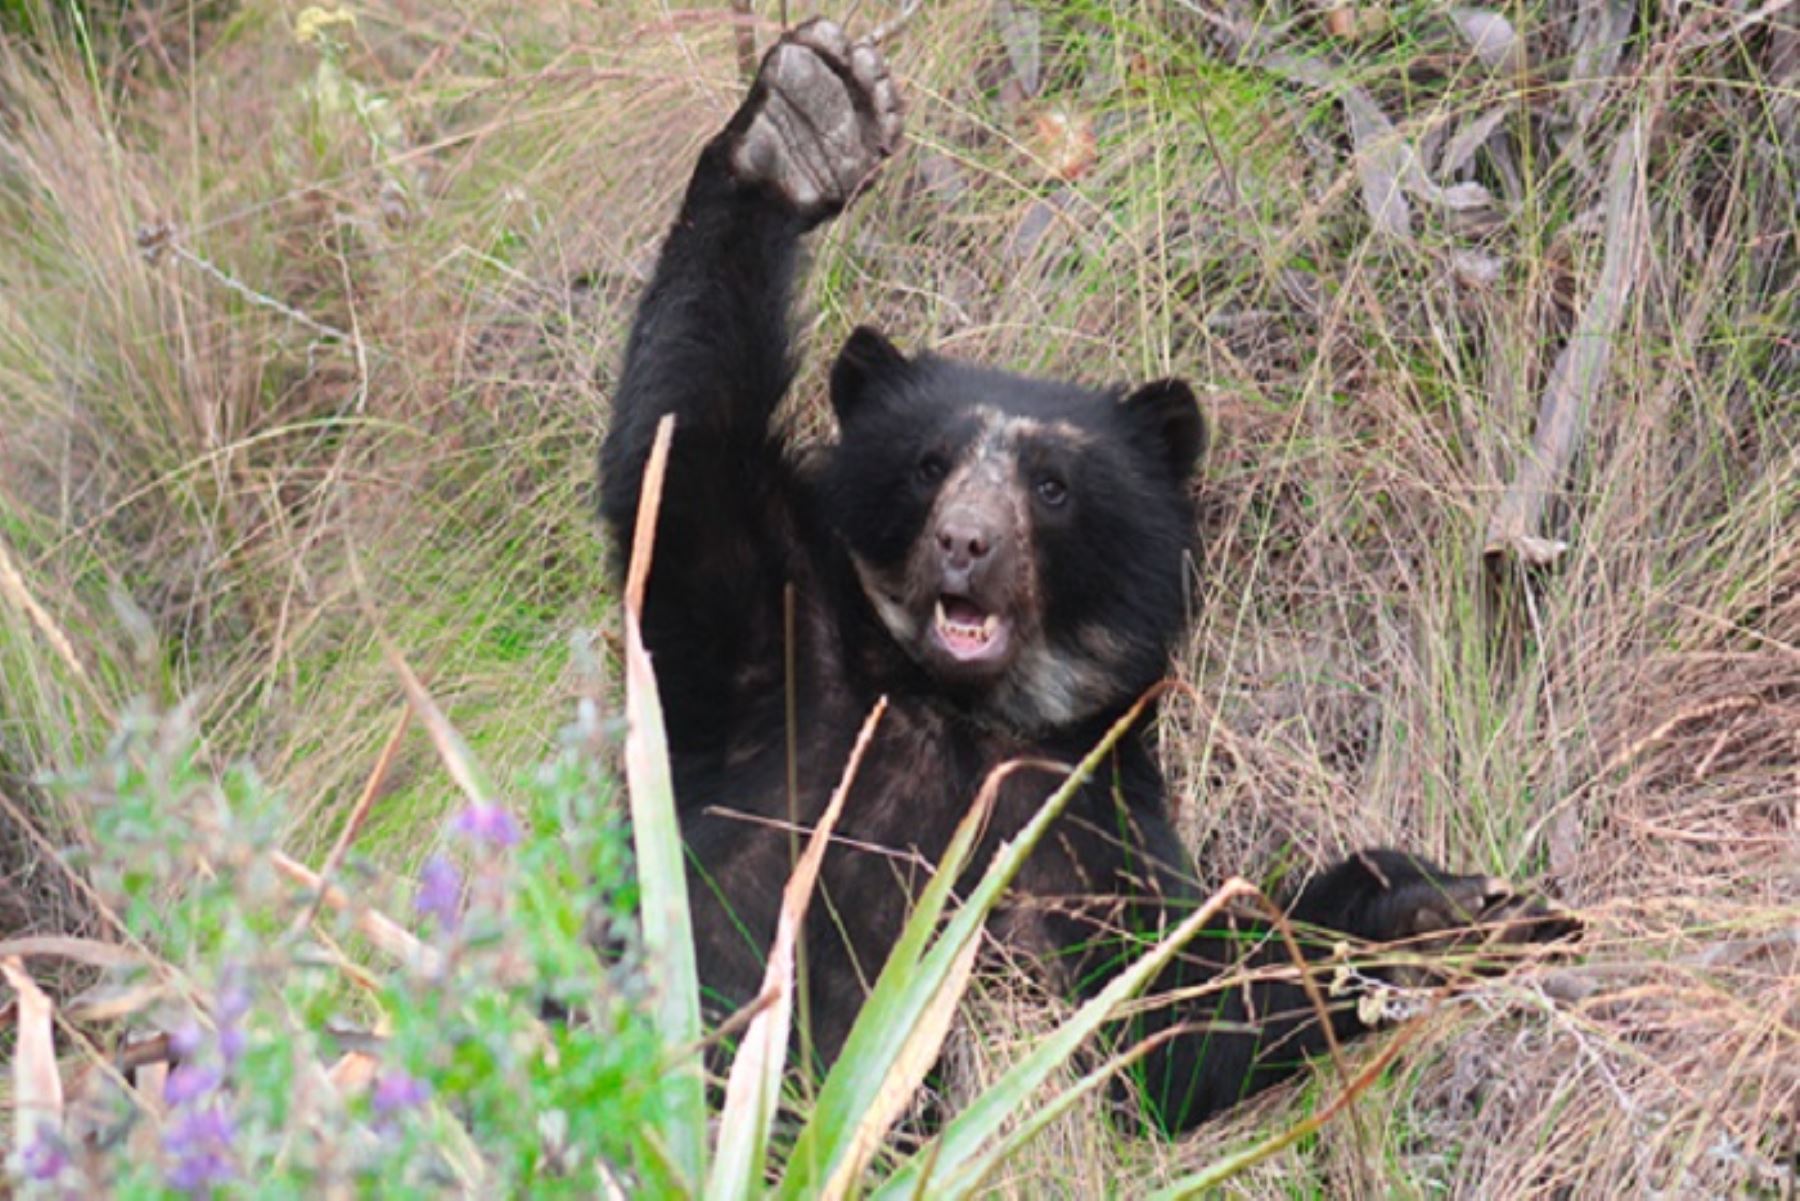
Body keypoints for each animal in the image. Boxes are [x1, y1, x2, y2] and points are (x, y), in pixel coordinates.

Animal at [597, 16, 1569, 1130]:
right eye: (930, 463)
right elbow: (682, 452)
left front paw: (1449, 910)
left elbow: (1180, 1019)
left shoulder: (1086, 826)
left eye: (1051, 486)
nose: (965, 541)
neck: (967, 714)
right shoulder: (782, 642)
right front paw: (808, 121)